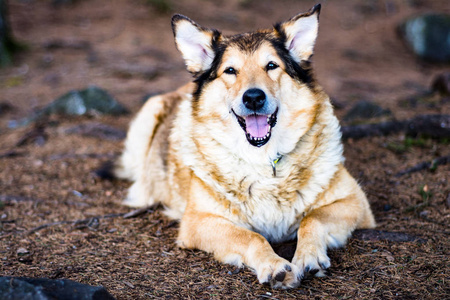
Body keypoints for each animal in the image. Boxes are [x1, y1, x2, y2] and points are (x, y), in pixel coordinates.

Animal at [113, 4, 376, 290]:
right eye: (230, 71)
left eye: (271, 66)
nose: (253, 98)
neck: (265, 162)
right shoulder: (198, 221)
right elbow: (252, 237)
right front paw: (274, 265)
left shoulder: (356, 203)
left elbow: (312, 218)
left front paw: (308, 255)